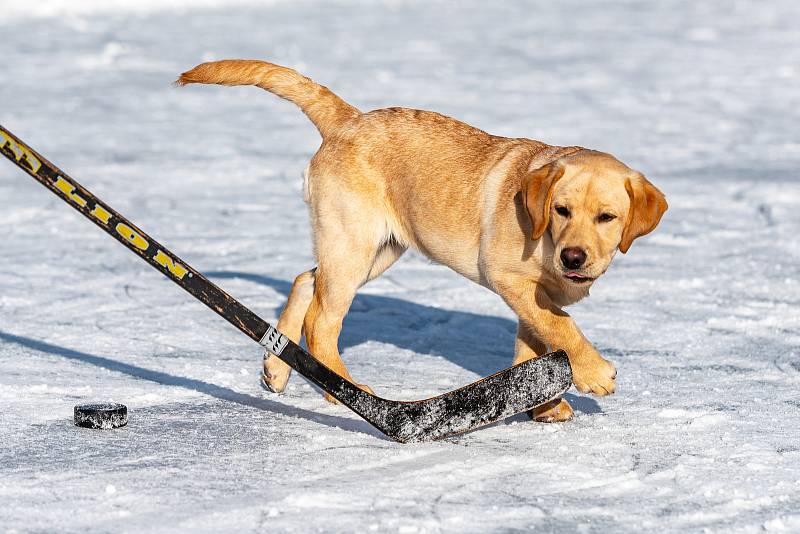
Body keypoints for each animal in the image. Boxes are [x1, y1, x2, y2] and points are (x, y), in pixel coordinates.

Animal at [178, 60, 664, 426]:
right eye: (561, 210)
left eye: (607, 217)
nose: (574, 257)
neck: (542, 236)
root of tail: (350, 119)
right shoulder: (507, 276)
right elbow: (560, 325)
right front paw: (594, 373)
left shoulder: (531, 293)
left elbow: (534, 341)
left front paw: (543, 404)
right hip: (353, 244)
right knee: (321, 321)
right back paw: (344, 392)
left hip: (375, 249)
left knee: (305, 280)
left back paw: (278, 370)